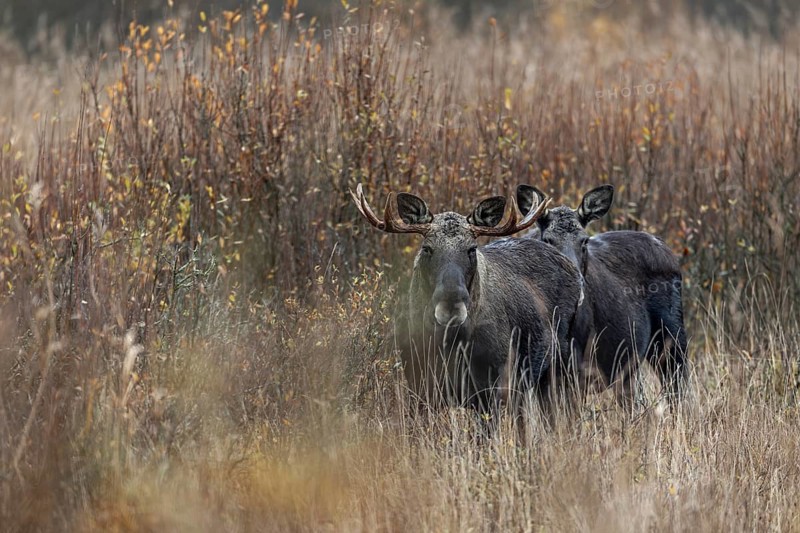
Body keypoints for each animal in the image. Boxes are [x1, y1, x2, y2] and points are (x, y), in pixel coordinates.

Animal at [351, 184, 584, 416]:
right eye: (427, 248)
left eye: (471, 249)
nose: (451, 307)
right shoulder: (419, 385)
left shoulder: (494, 384)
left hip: (562, 365)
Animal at [516, 184, 689, 407]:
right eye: (547, 240)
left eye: (584, 241)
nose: (577, 284)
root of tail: (663, 245)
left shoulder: (577, 367)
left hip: (672, 337)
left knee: (679, 392)